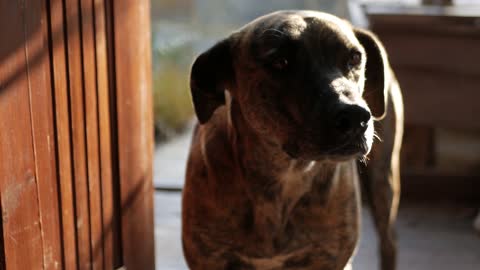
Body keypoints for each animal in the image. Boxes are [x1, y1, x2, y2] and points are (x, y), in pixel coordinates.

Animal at [182, 10, 404, 270]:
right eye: (280, 61)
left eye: (355, 58)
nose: (355, 117)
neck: (283, 175)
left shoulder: (330, 259)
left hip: (383, 181)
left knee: (389, 241)